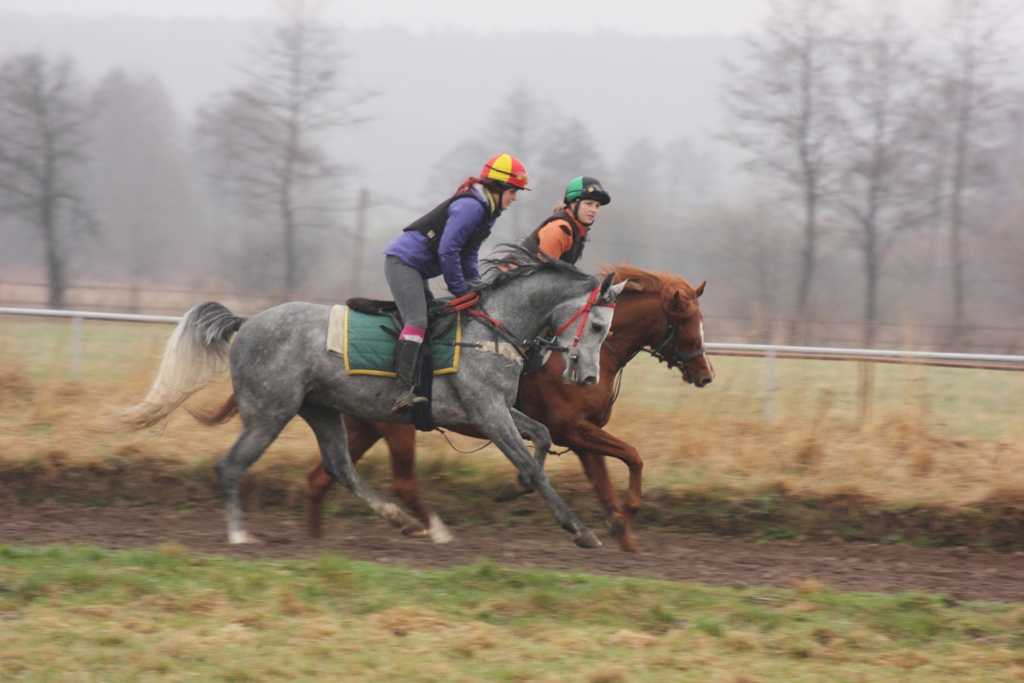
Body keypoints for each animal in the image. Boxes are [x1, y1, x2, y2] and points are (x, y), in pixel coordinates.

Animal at [123, 248, 626, 549]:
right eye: (598, 325)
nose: (589, 377)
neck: (494, 329)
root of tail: (246, 323)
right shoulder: (486, 411)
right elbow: (533, 464)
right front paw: (580, 529)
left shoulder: (498, 410)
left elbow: (540, 438)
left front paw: (511, 489)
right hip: (269, 413)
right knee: (231, 466)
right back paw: (239, 535)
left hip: (320, 409)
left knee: (338, 467)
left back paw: (400, 520)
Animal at [301, 264, 714, 553]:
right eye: (688, 323)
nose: (707, 374)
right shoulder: (573, 430)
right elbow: (633, 456)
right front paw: (620, 518)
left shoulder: (581, 436)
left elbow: (607, 481)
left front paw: (622, 535)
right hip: (397, 425)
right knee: (400, 482)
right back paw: (435, 531)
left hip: (362, 423)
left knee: (322, 475)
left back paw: (316, 539)